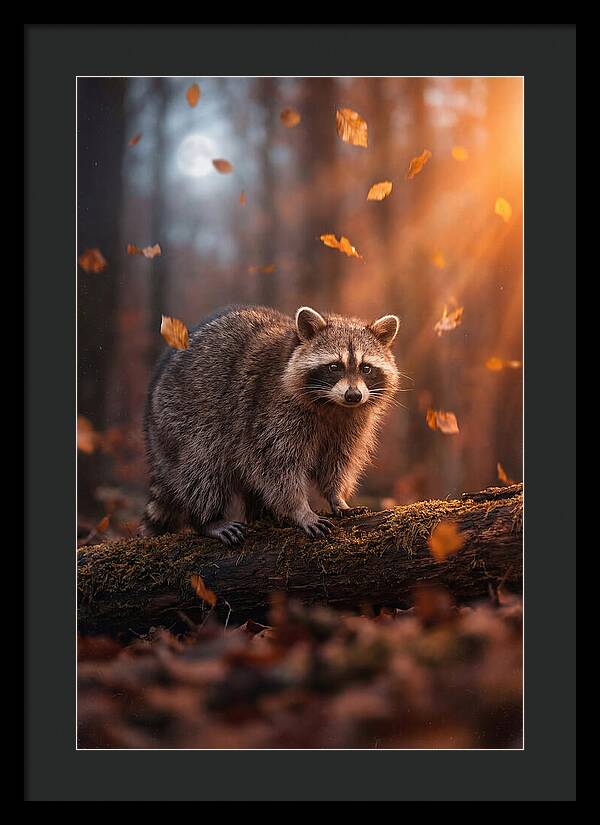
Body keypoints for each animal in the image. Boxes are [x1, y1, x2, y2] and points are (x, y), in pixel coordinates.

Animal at [142, 305, 400, 545]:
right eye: (334, 366)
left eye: (366, 368)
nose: (353, 395)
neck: (333, 405)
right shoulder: (270, 411)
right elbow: (277, 466)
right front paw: (300, 509)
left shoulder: (350, 424)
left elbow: (338, 461)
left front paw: (337, 496)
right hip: (183, 419)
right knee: (203, 467)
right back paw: (207, 519)